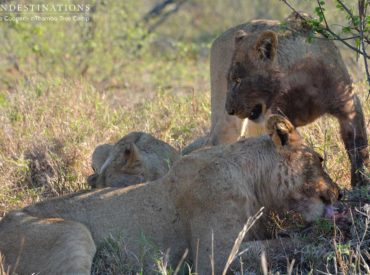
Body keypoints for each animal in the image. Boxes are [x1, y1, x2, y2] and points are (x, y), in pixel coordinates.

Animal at [0, 115, 342, 274]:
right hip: (72, 234)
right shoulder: (211, 258)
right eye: (321, 159)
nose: (339, 194)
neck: (252, 178)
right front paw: (318, 244)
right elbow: (279, 245)